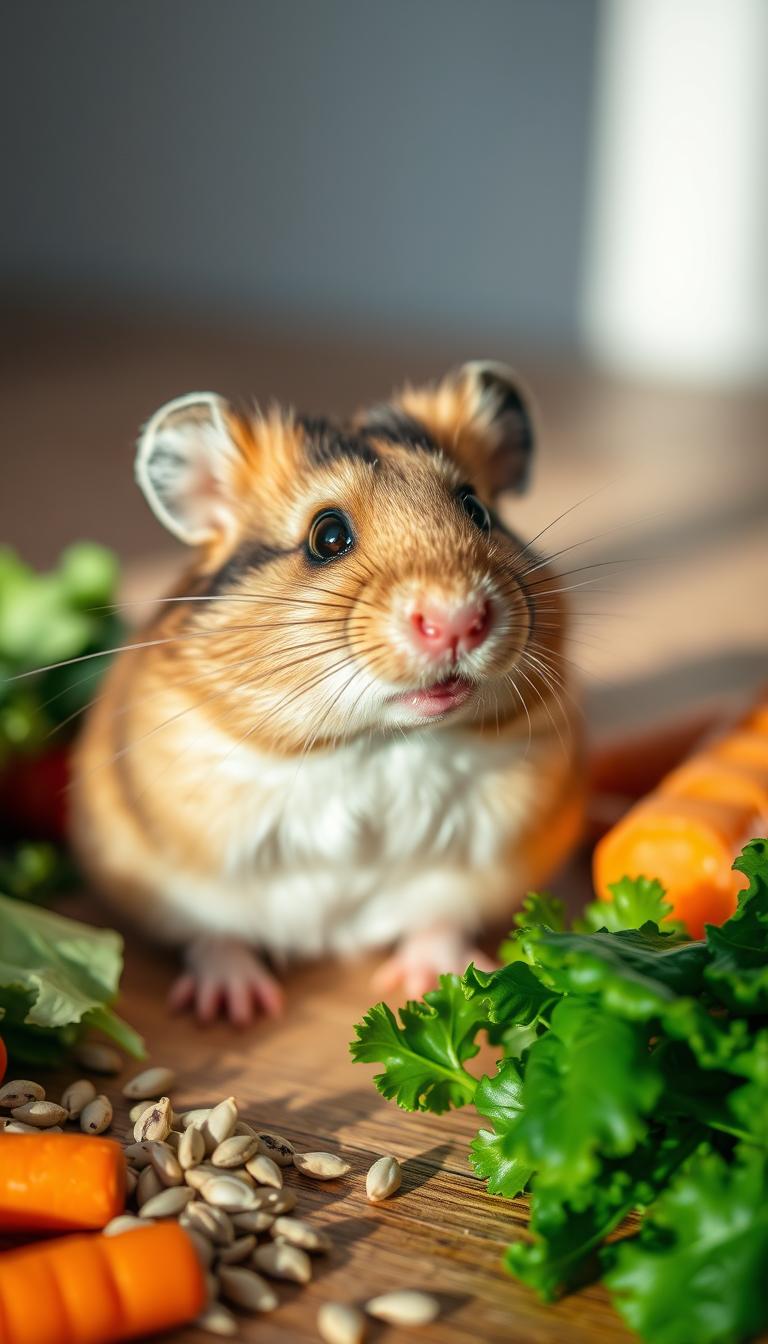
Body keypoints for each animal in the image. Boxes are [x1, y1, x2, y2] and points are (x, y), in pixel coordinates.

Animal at [69, 361, 583, 1022]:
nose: (458, 621)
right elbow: (213, 933)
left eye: (476, 510)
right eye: (328, 536)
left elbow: (440, 919)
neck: (376, 742)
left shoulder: (481, 860)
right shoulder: (179, 866)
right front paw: (237, 1010)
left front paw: (432, 982)